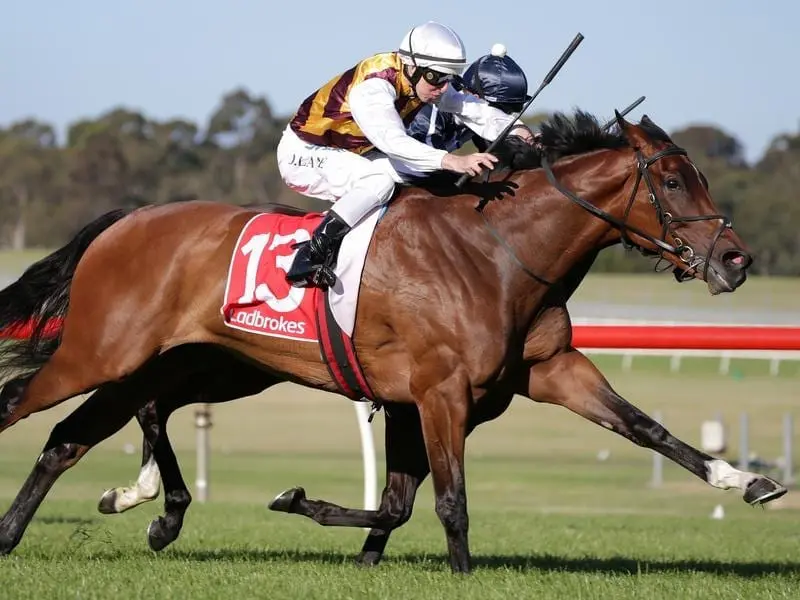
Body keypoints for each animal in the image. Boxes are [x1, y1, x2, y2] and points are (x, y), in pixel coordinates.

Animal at [0, 108, 788, 572]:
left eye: (699, 177)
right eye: (675, 183)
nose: (736, 260)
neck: (498, 252)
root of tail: (127, 220)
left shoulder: (546, 369)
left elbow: (647, 428)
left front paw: (748, 481)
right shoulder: (440, 393)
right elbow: (447, 501)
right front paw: (458, 574)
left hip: (199, 365)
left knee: (86, 432)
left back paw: (124, 512)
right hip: (98, 352)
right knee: (25, 404)